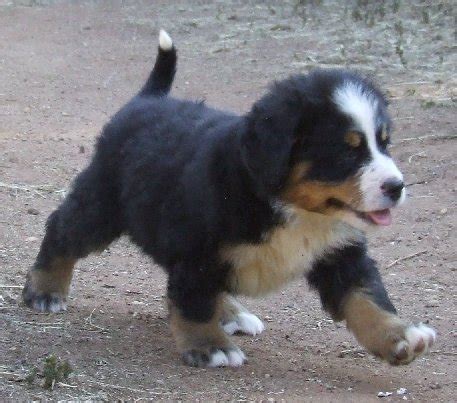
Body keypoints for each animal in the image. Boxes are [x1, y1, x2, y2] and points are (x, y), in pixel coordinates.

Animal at [24, 30, 434, 368]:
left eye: (384, 142)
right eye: (347, 151)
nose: (396, 186)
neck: (291, 209)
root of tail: (147, 99)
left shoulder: (340, 253)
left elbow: (366, 298)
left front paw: (399, 337)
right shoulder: (197, 249)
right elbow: (194, 301)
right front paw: (209, 347)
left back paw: (233, 314)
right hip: (102, 206)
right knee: (62, 229)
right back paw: (45, 290)